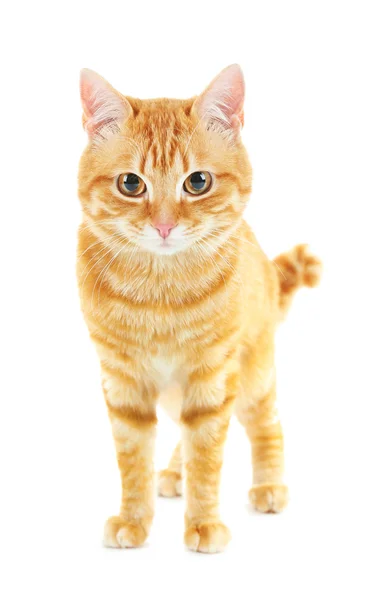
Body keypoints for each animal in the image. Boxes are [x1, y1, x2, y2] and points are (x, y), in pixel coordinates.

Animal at [77, 65, 322, 552]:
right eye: (130, 184)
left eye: (197, 182)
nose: (164, 226)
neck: (158, 293)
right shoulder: (122, 381)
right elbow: (134, 459)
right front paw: (133, 519)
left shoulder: (212, 378)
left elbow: (207, 455)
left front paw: (204, 523)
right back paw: (174, 473)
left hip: (251, 377)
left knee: (267, 425)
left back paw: (269, 486)